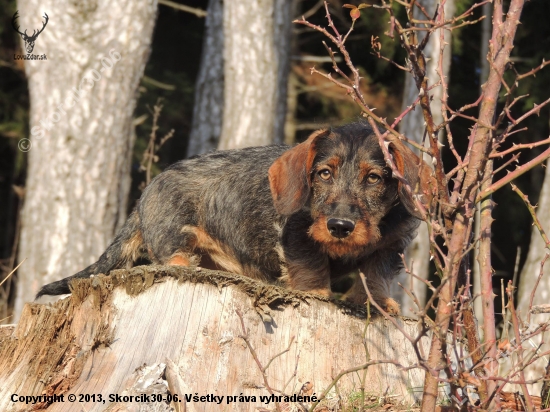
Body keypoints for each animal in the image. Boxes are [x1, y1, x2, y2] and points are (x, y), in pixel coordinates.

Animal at [37, 121, 436, 312]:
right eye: (324, 173)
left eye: (374, 178)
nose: (340, 226)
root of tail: (144, 195)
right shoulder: (297, 236)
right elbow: (310, 267)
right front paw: (317, 294)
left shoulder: (393, 245)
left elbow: (376, 273)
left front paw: (375, 303)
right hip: (175, 235)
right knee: (173, 257)